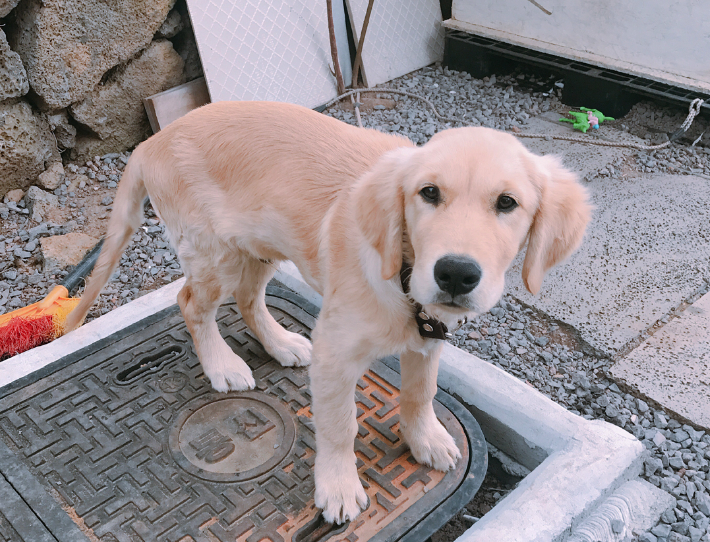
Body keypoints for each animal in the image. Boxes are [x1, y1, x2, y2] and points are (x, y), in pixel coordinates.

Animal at [67, 102, 592, 528]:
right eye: (428, 193)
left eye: (507, 203)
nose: (456, 273)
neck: (402, 271)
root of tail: (151, 141)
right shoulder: (336, 355)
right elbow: (341, 426)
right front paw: (338, 487)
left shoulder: (429, 334)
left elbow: (421, 392)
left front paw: (425, 438)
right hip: (213, 252)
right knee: (193, 303)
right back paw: (222, 365)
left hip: (258, 243)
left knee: (249, 298)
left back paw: (280, 343)